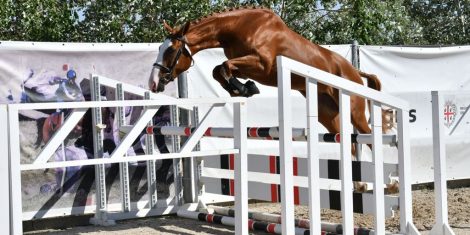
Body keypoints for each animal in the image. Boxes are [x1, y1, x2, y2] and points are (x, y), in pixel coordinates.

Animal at [150, 6, 386, 151]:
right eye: (160, 48)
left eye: (171, 51)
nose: (153, 82)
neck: (238, 27)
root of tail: (354, 71)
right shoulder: (245, 66)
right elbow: (219, 70)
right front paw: (241, 89)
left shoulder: (261, 65)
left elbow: (223, 67)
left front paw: (246, 89)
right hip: (327, 114)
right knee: (348, 142)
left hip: (354, 111)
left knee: (368, 138)